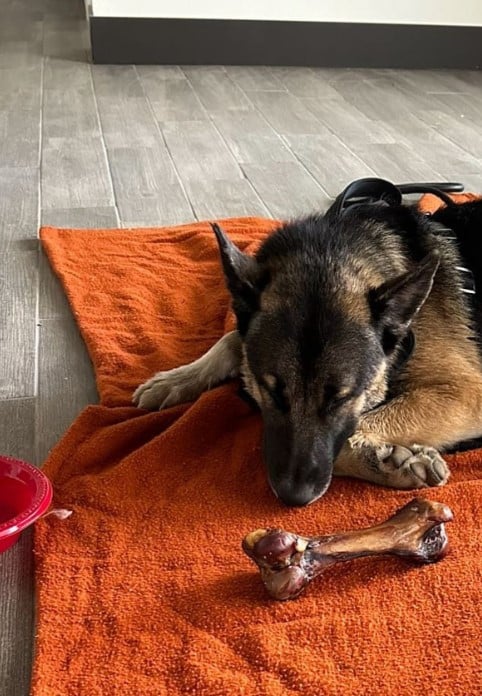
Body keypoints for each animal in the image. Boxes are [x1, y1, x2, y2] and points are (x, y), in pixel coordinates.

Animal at [134, 179, 482, 506]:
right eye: (273, 392)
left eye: (341, 399)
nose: (293, 498)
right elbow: (231, 339)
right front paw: (176, 379)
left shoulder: (465, 393)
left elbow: (349, 435)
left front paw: (393, 462)